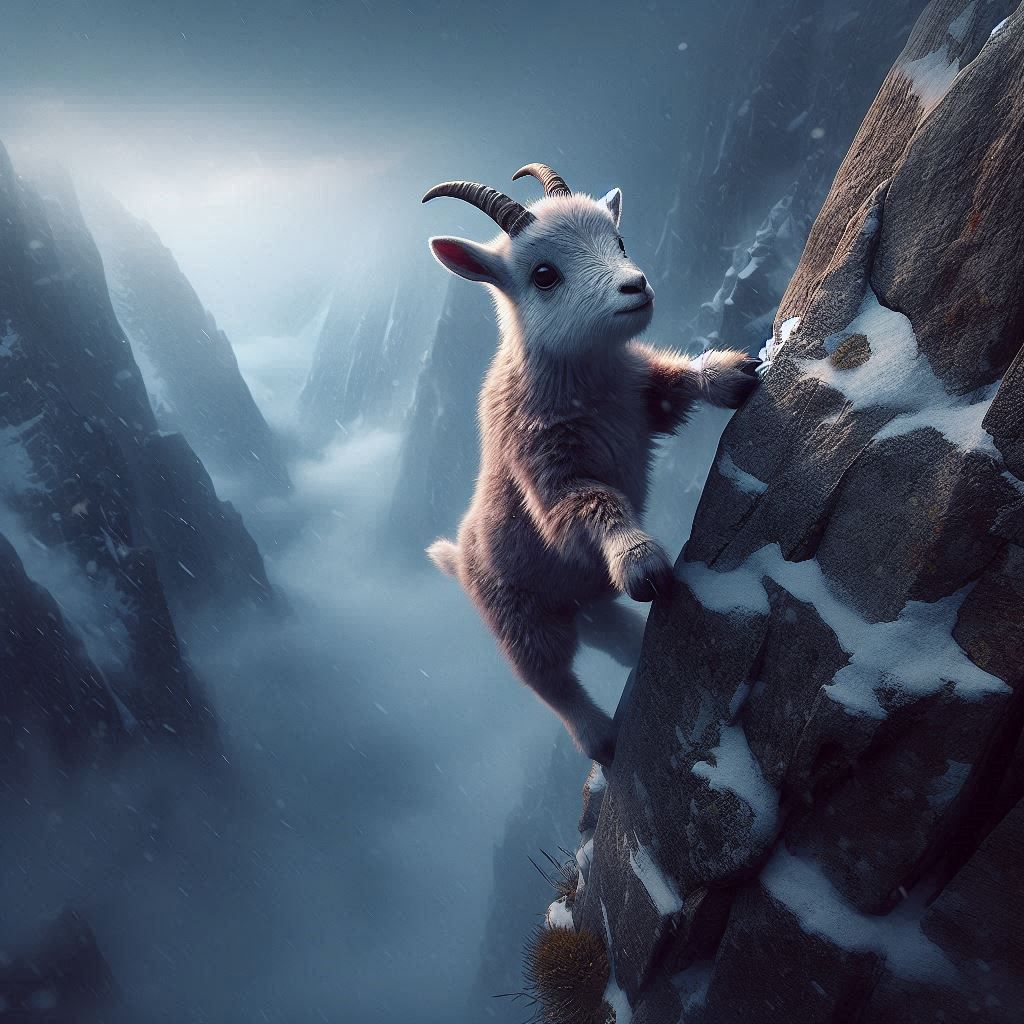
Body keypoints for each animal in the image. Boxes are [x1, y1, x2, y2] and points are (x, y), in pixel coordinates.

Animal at [422, 164, 757, 765]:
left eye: (618, 241)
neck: (586, 380)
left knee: (609, 629)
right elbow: (591, 504)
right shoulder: (549, 473)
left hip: (582, 599)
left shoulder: (643, 398)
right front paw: (641, 561)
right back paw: (599, 736)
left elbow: (676, 382)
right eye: (544, 274)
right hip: (520, 619)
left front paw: (731, 373)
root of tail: (458, 560)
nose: (636, 286)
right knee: (549, 679)